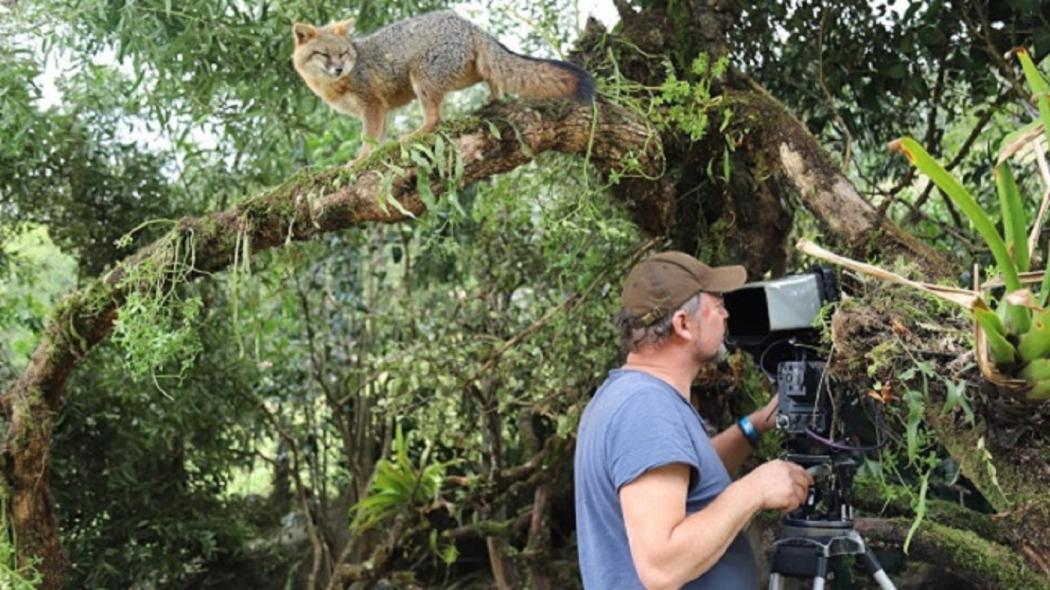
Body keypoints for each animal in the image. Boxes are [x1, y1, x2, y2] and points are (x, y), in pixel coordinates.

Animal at [291, 9, 596, 165]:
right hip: (464, 74)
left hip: (422, 79)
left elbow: (368, 139)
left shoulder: (372, 105)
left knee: (435, 120)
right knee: (493, 77)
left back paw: (413, 136)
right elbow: (377, 138)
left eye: (342, 54)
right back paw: (493, 100)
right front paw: (372, 156)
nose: (338, 69)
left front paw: (359, 161)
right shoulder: (381, 109)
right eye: (324, 55)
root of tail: (470, 24)